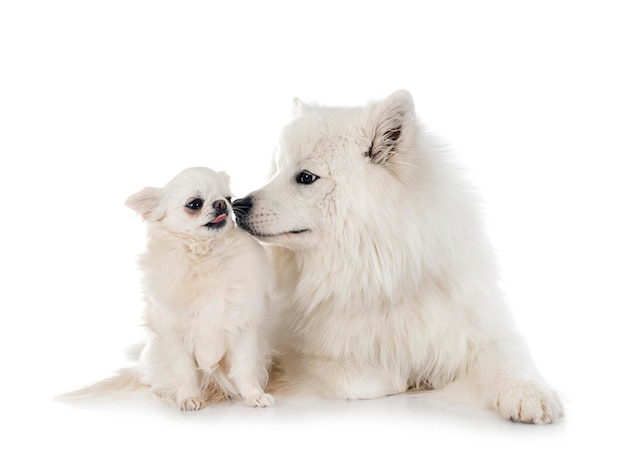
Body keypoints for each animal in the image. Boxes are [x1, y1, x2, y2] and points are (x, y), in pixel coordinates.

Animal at [233, 90, 560, 422]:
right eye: (275, 170)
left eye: (306, 177)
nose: (237, 204)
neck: (382, 279)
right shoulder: (301, 353)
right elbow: (367, 379)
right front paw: (410, 379)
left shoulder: (474, 329)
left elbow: (510, 356)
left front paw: (528, 393)